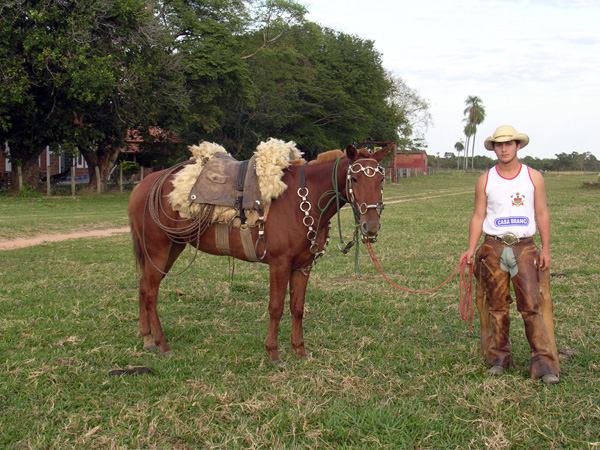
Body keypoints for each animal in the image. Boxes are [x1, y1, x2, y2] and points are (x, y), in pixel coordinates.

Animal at [129, 146, 392, 364]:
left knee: (143, 287)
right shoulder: (279, 264)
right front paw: (273, 353)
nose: (371, 226)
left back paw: (147, 339)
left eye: (381, 179)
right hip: (159, 249)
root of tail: (142, 186)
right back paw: (163, 345)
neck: (302, 197)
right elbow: (276, 307)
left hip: (172, 248)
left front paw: (300, 351)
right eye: (355, 179)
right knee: (150, 293)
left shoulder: (303, 266)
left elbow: (297, 307)